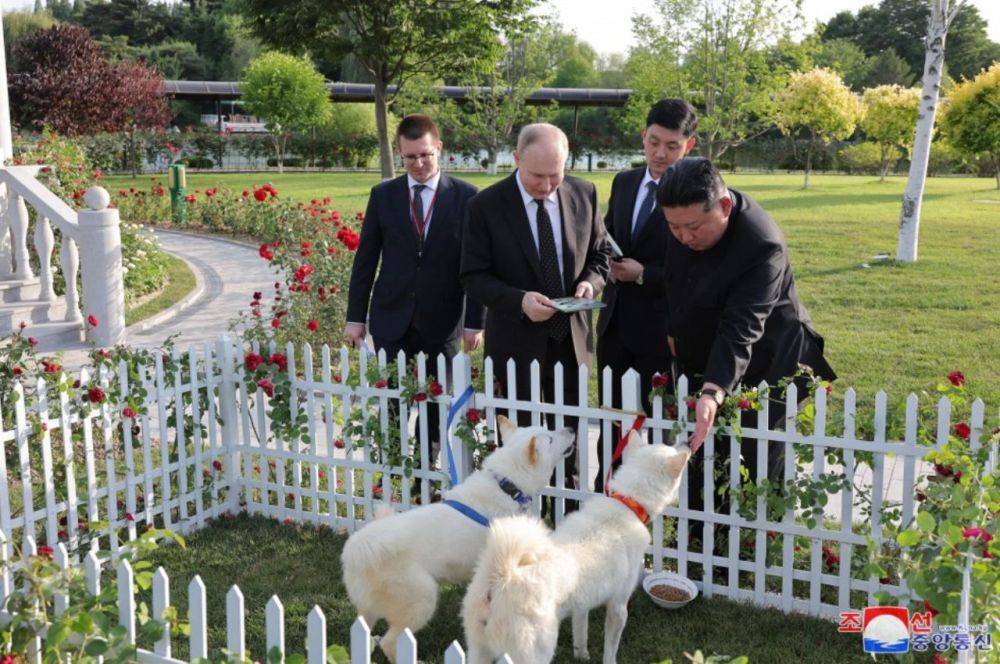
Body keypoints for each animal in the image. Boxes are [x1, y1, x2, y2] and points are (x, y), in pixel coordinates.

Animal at [342, 416, 572, 660]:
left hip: (370, 609)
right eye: (550, 438)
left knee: (363, 632)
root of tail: (356, 550)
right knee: (390, 641)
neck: (507, 486)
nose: (570, 428)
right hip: (423, 599)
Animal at [460, 430, 688, 664]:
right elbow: (610, 648)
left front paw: (582, 655)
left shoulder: (582, 606)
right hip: (534, 653)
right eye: (672, 447)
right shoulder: (618, 607)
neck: (628, 502)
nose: (688, 443)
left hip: (478, 650)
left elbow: (580, 633)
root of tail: (502, 575)